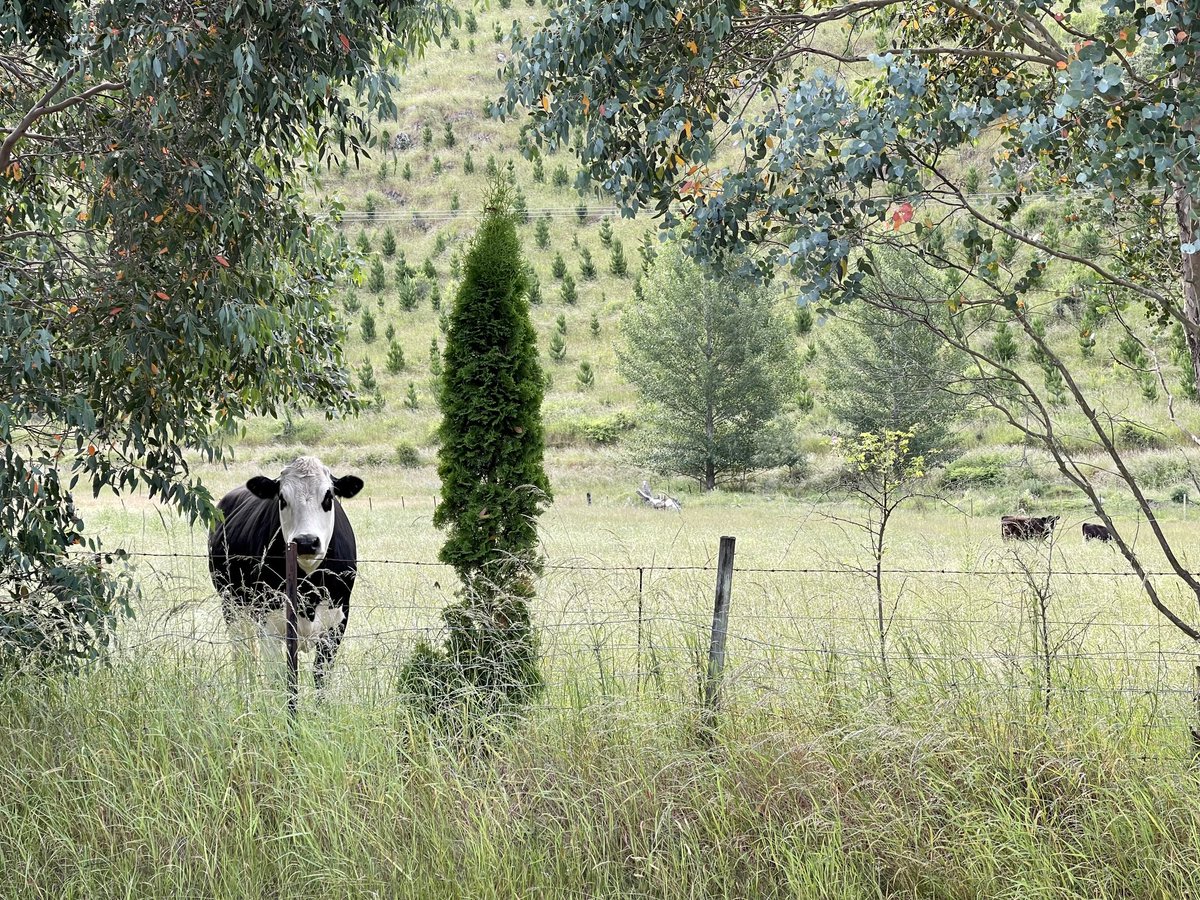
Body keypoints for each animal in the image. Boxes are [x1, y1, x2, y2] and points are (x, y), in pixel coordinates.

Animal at [208, 456, 364, 690]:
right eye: (282, 498)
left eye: (328, 496)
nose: (306, 542)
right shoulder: (270, 626)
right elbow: (279, 679)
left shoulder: (337, 624)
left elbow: (320, 678)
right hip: (231, 605)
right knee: (242, 656)